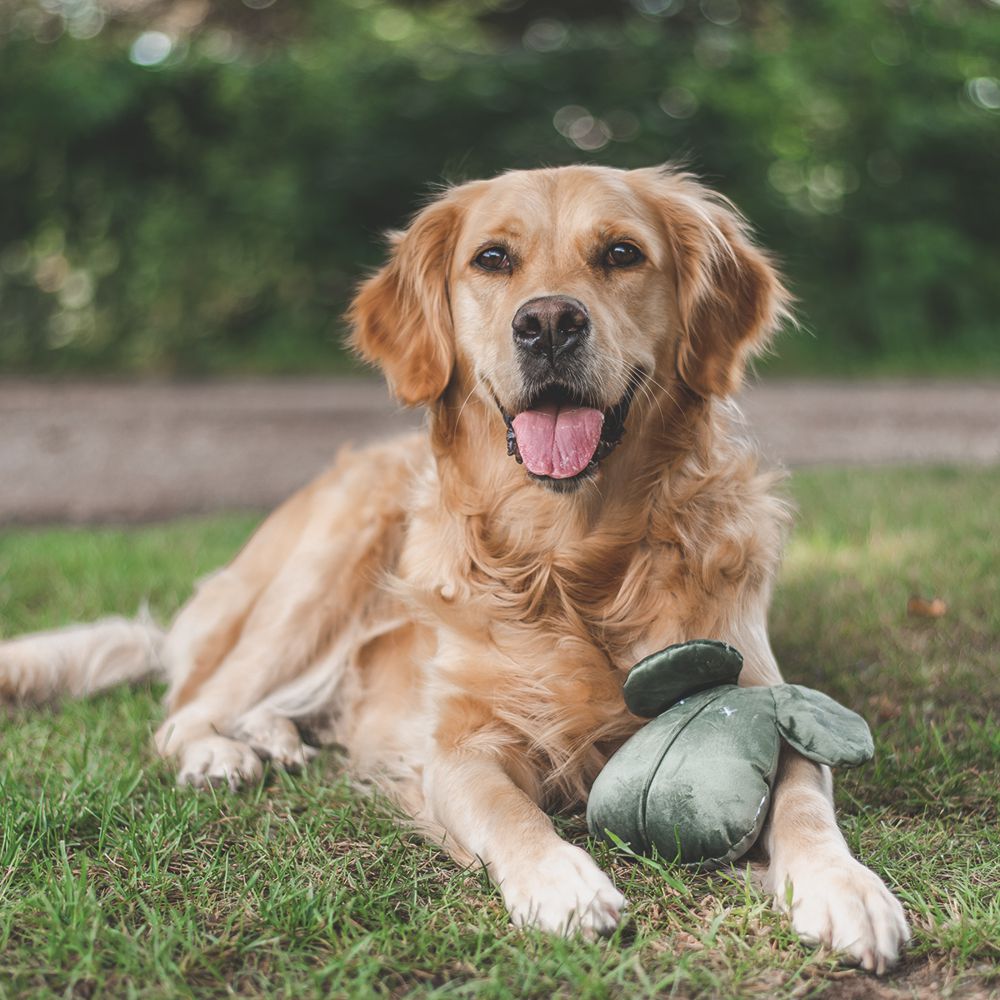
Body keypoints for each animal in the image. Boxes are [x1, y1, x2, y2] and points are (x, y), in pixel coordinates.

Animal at [0, 168, 908, 972]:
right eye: (493, 259)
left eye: (621, 253)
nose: (549, 323)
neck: (572, 560)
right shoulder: (458, 748)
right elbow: (510, 811)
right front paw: (562, 880)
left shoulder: (757, 686)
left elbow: (804, 799)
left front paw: (847, 889)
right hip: (322, 570)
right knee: (187, 706)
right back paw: (220, 753)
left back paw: (279, 738)